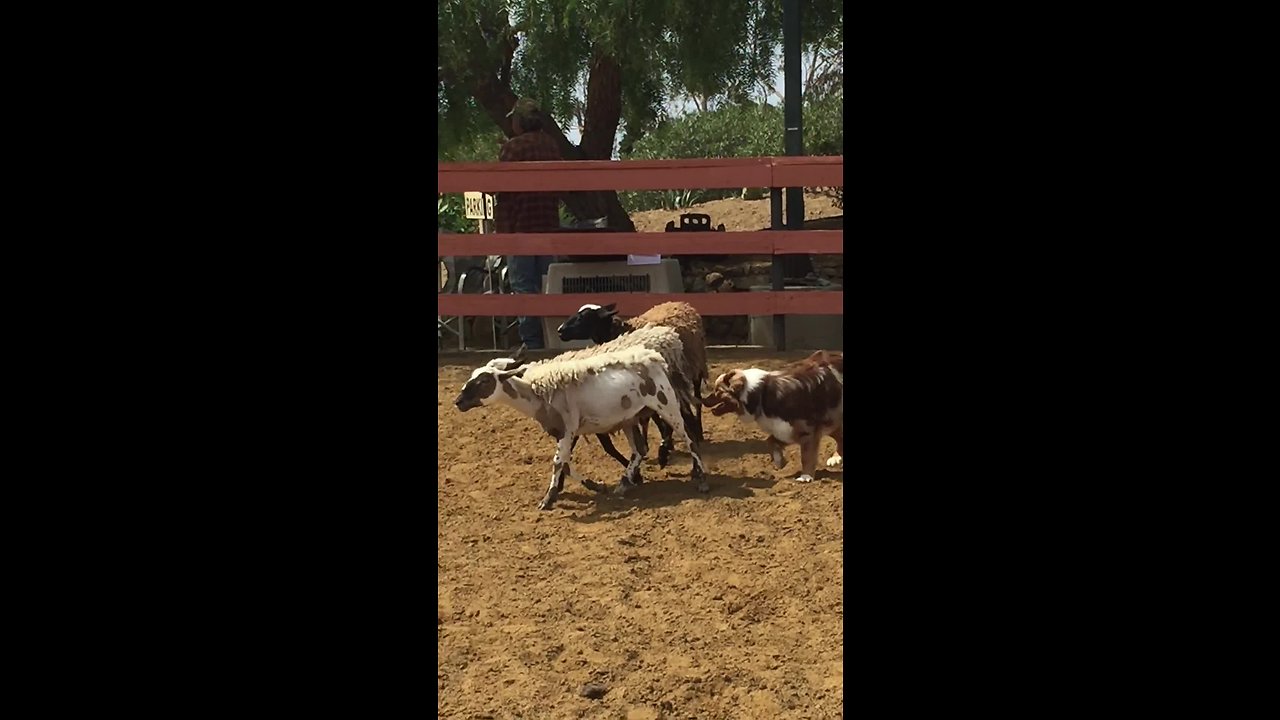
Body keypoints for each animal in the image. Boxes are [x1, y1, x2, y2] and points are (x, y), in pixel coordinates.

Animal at [701, 348, 839, 481]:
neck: (759, 393)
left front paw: (806, 477)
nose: (702, 400)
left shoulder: (807, 431)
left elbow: (807, 457)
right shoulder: (783, 428)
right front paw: (779, 461)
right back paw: (836, 459)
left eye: (717, 391)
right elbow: (770, 440)